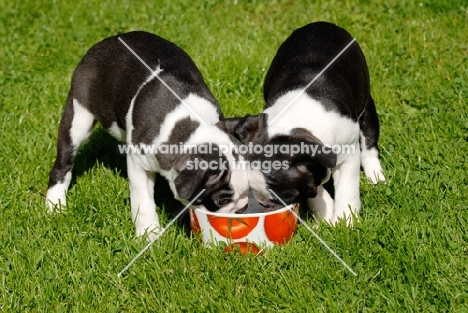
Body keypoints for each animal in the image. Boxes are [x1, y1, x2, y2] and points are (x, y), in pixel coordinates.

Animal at [47, 31, 250, 236]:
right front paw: (148, 233)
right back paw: (55, 205)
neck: (191, 129)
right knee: (64, 162)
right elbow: (143, 201)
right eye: (222, 200)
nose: (242, 208)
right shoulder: (139, 164)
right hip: (79, 117)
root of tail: (108, 40)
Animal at [233, 22, 384, 224]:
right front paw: (326, 216)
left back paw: (376, 177)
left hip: (366, 105)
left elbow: (347, 190)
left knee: (369, 143)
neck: (294, 122)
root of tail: (322, 24)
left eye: (280, 195)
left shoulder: (349, 154)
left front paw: (345, 222)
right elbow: (316, 189)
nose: (263, 202)